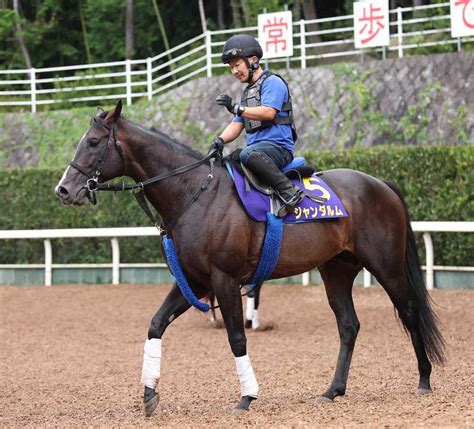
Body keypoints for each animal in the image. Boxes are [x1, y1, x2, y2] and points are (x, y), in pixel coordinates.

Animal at [54, 99, 444, 414]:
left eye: (93, 142)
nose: (63, 190)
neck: (197, 193)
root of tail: (379, 184)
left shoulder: (224, 279)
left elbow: (237, 337)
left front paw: (247, 396)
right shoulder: (194, 280)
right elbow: (156, 324)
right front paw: (149, 394)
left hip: (386, 266)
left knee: (410, 312)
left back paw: (424, 380)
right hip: (336, 270)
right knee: (349, 326)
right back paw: (333, 390)